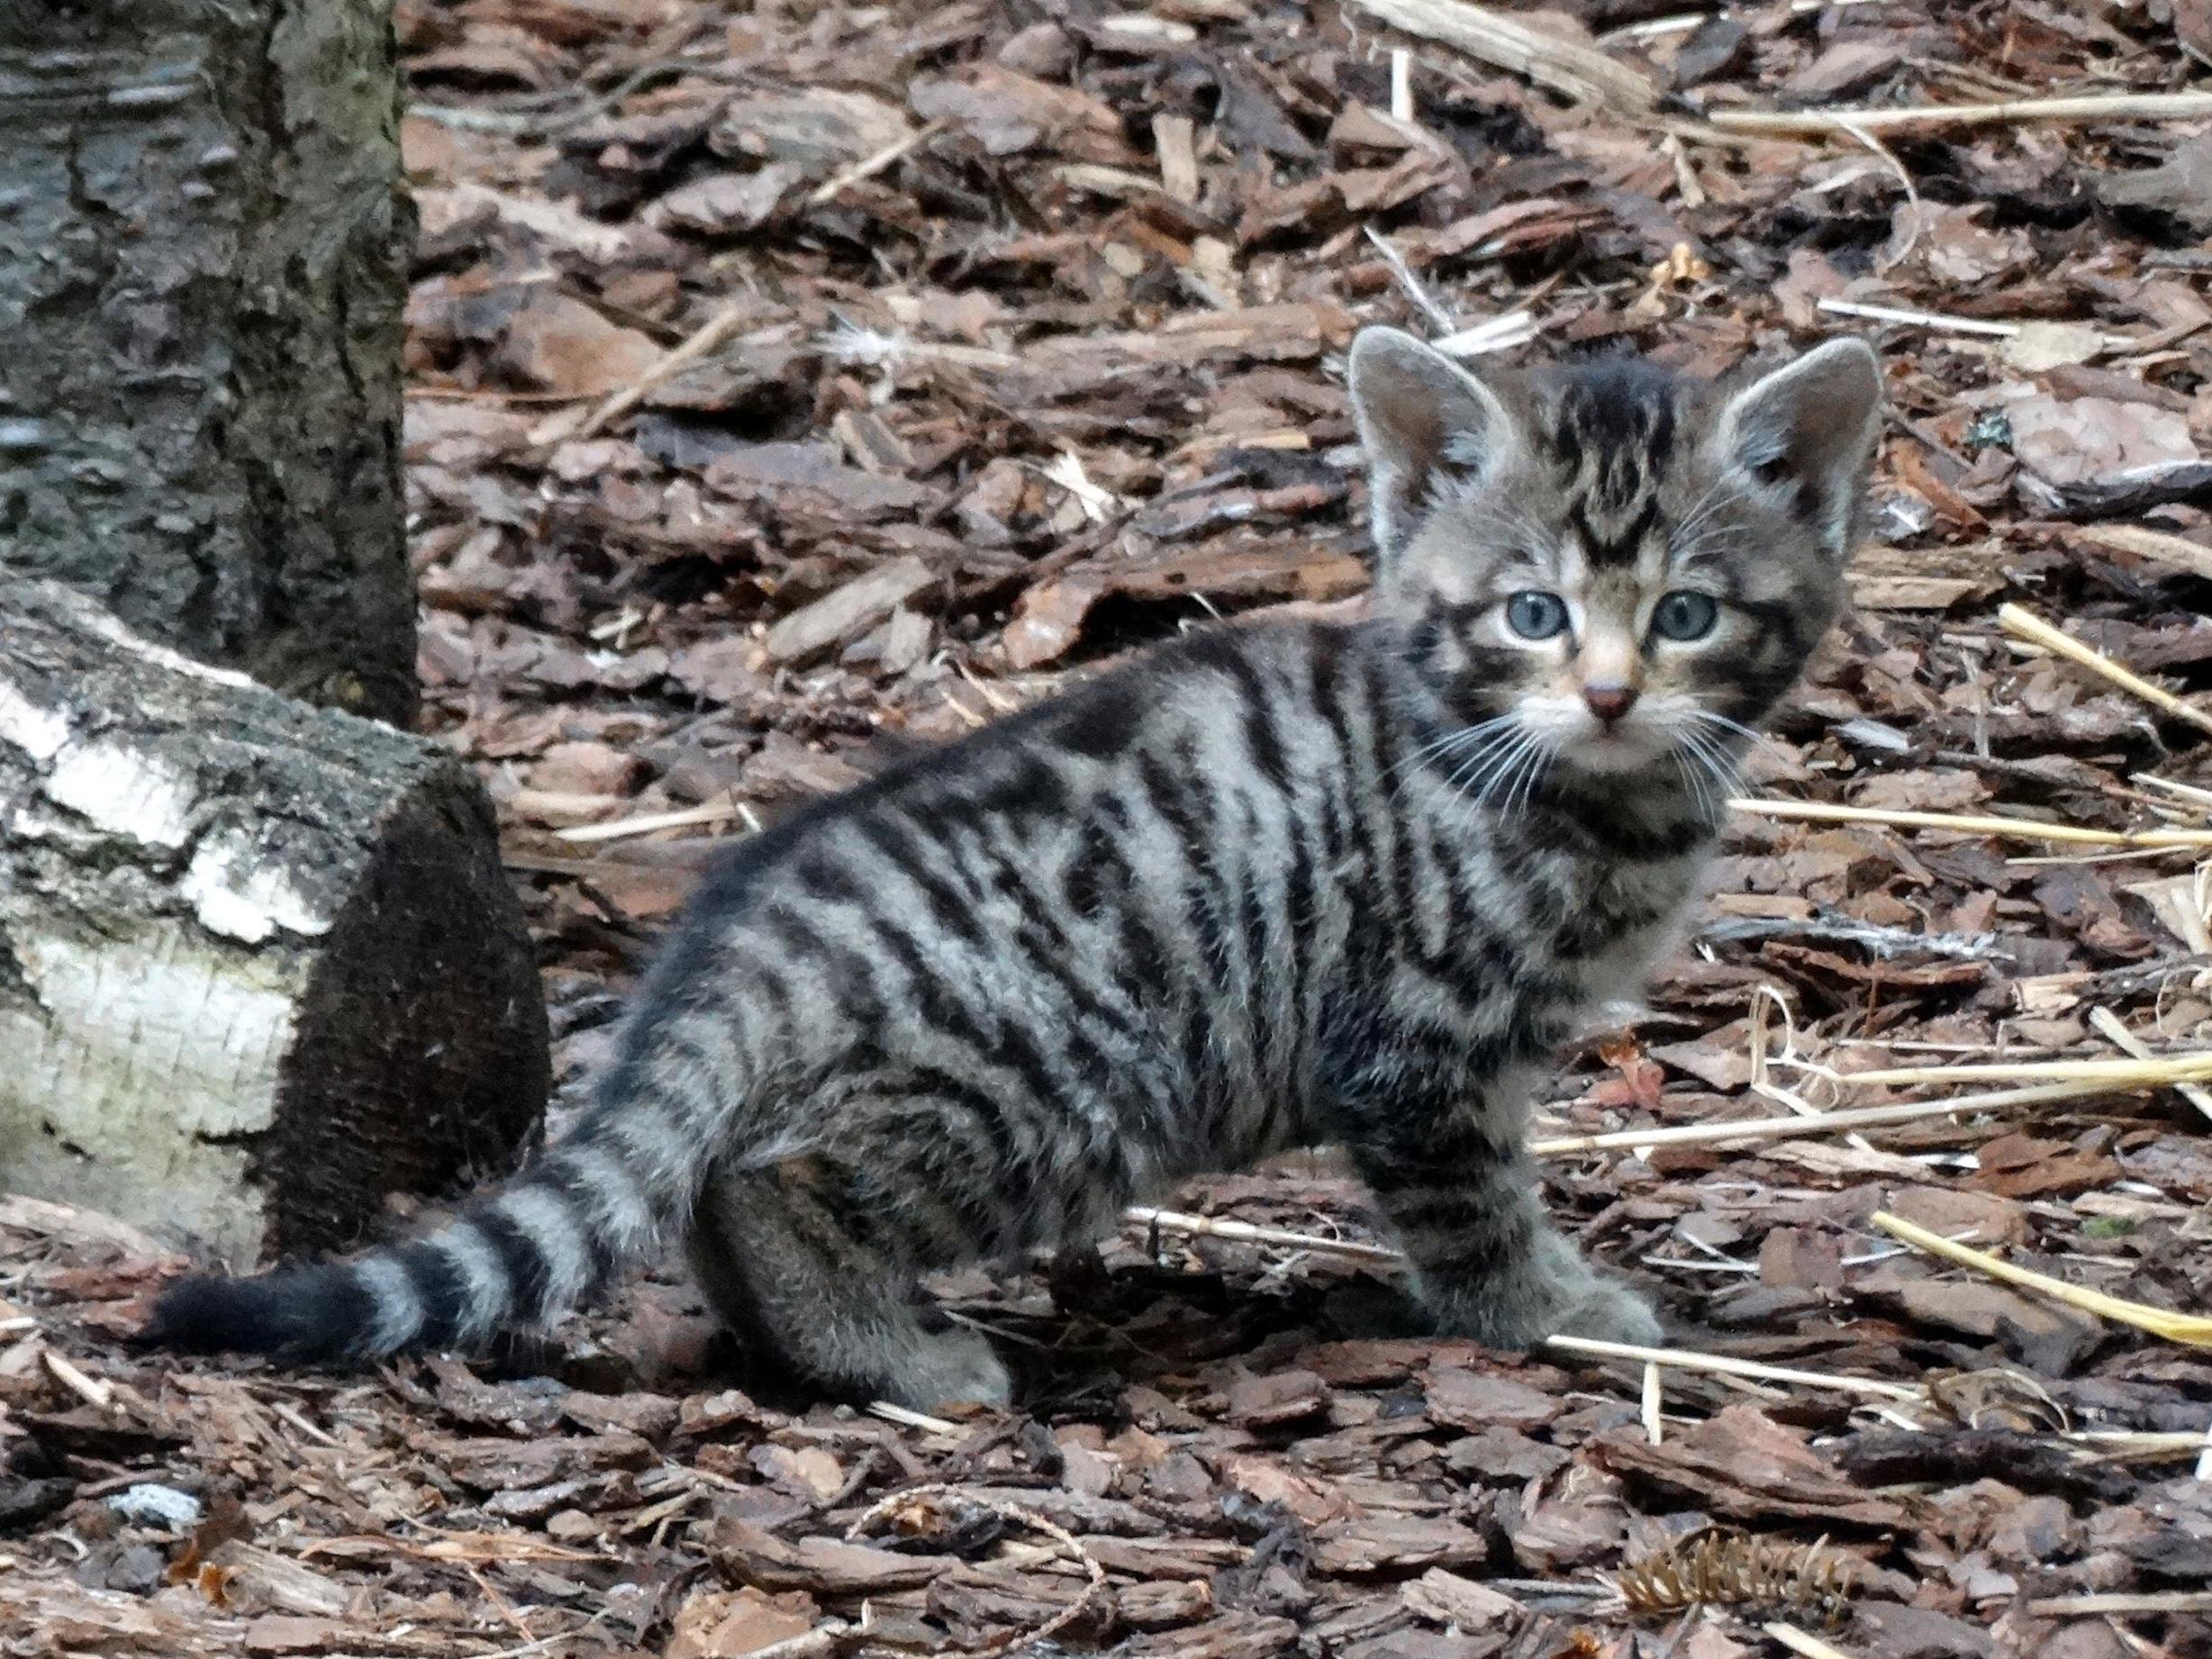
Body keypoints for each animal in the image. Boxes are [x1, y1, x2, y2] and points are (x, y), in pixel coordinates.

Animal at [147, 331, 1884, 1407]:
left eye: (1686, 615)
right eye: (1533, 613)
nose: (1609, 691)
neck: (1565, 783)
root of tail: (752, 925)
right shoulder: (1416, 1049)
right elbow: (1472, 1213)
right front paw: (1550, 1315)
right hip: (1061, 1080)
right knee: (771, 1179)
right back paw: (897, 1357)